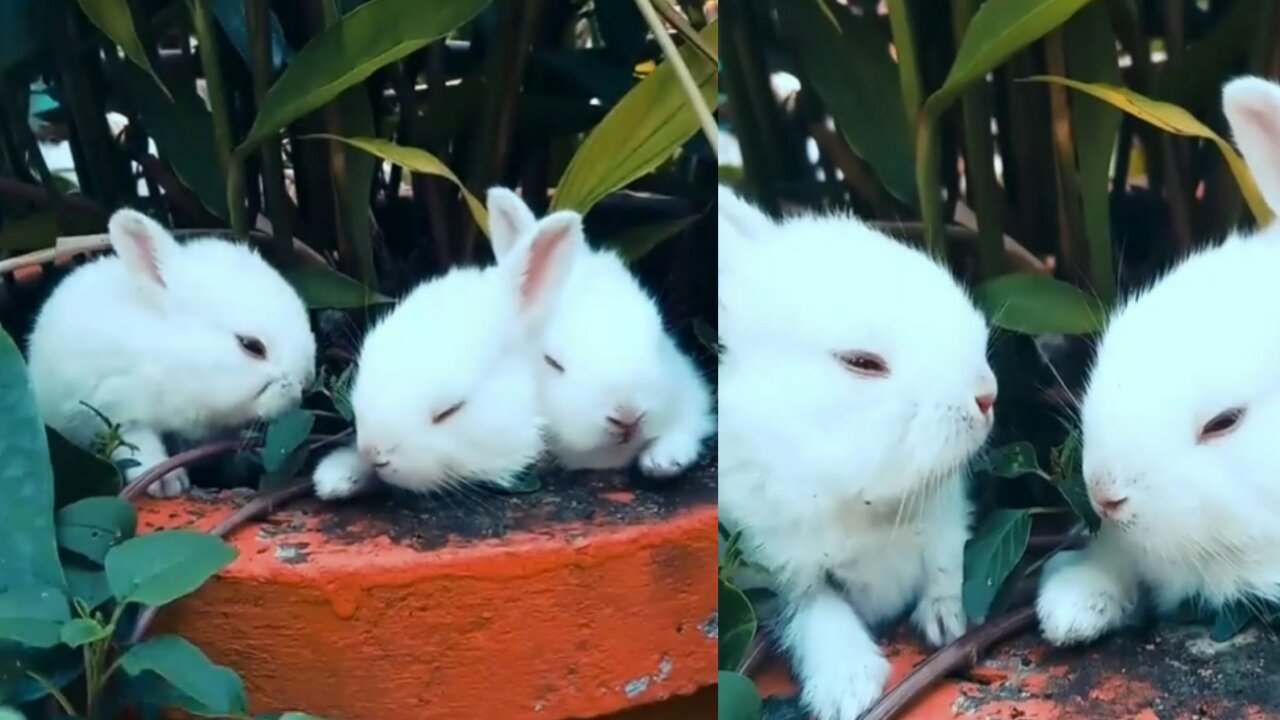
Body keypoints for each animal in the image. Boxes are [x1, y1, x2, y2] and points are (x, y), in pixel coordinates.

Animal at [26, 208, 316, 491]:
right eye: (252, 346)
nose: (305, 382)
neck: (172, 354)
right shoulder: (115, 411)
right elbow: (139, 445)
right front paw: (167, 482)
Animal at [721, 185, 998, 717]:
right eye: (862, 363)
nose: (987, 395)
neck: (863, 503)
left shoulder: (946, 514)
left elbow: (945, 561)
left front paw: (947, 622)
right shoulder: (776, 568)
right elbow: (816, 611)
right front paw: (848, 690)